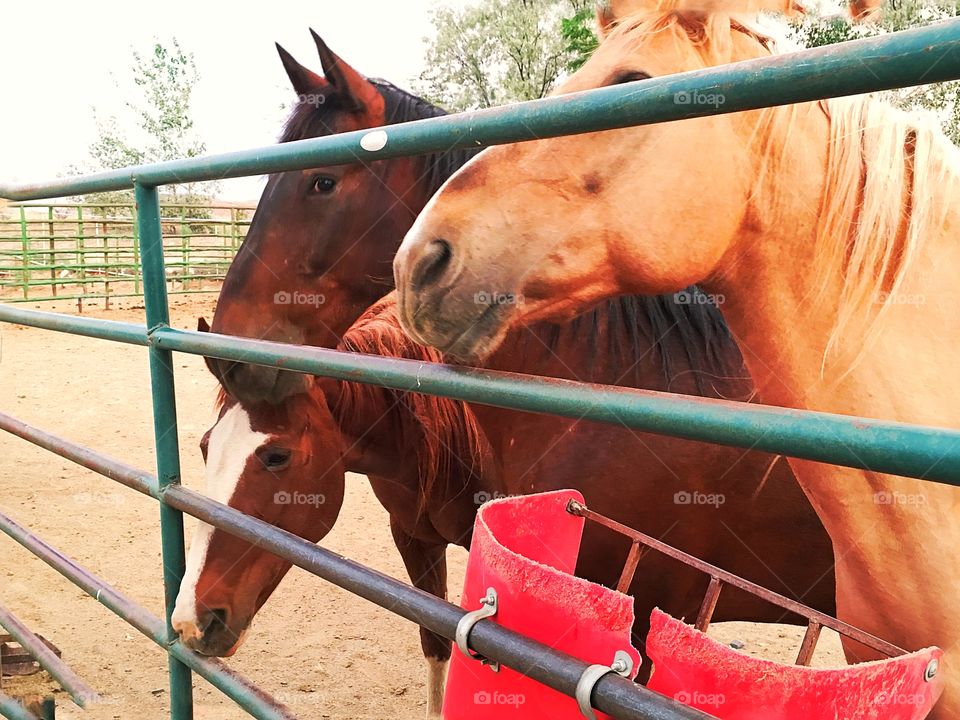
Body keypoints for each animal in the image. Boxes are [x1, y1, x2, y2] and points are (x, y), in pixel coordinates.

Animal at [176, 292, 836, 716]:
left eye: (276, 457)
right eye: (206, 445)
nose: (192, 620)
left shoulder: (643, 618)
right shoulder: (413, 534)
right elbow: (437, 641)